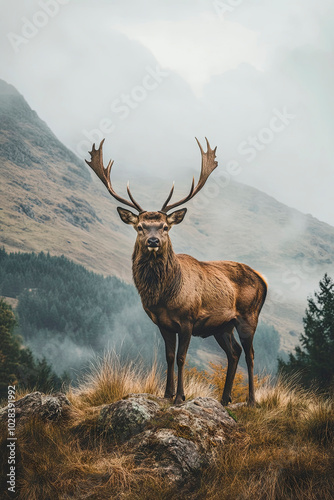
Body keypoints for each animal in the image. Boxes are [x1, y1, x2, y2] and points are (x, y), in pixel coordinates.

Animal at [85, 139, 266, 404]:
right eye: (140, 226)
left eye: (165, 227)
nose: (153, 241)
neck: (164, 297)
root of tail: (264, 281)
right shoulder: (163, 323)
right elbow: (169, 357)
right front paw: (166, 393)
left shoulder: (189, 319)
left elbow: (181, 358)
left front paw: (180, 396)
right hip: (222, 326)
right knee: (234, 352)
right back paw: (225, 398)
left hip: (248, 316)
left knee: (250, 354)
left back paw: (251, 400)